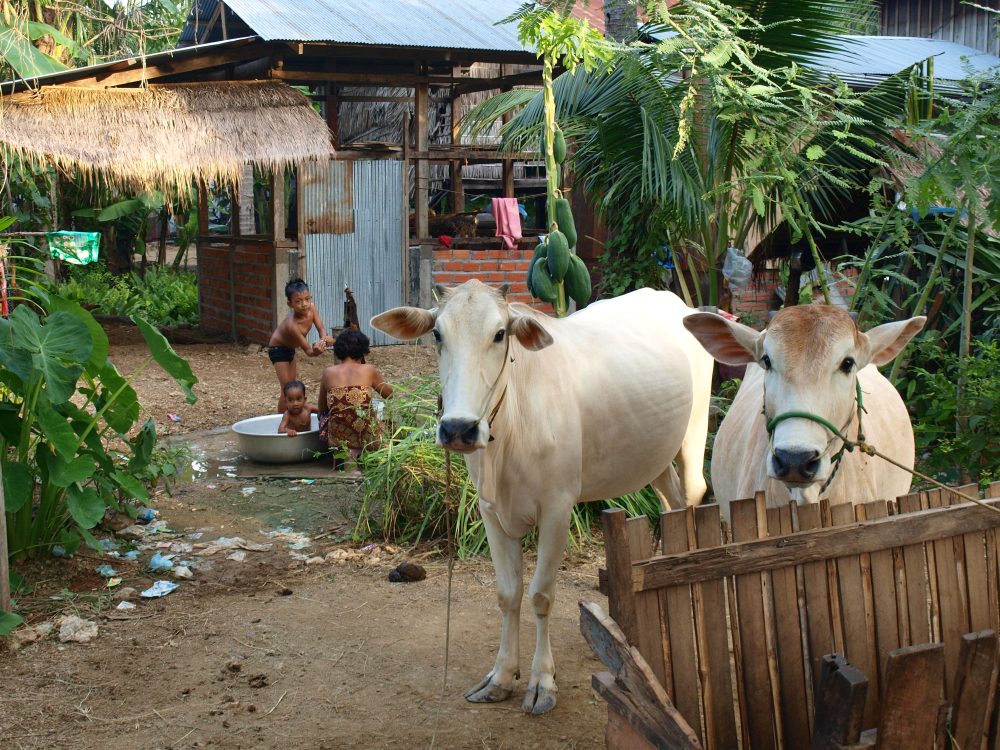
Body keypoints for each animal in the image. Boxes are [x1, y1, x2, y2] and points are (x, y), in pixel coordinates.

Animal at [371, 280, 714, 714]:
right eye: (437, 335)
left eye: (500, 334)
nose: (458, 429)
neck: (510, 431)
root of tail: (677, 303)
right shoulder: (491, 512)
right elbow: (508, 594)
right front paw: (501, 677)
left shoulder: (557, 510)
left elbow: (540, 595)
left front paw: (542, 682)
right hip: (654, 457)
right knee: (669, 505)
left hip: (694, 436)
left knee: (691, 498)